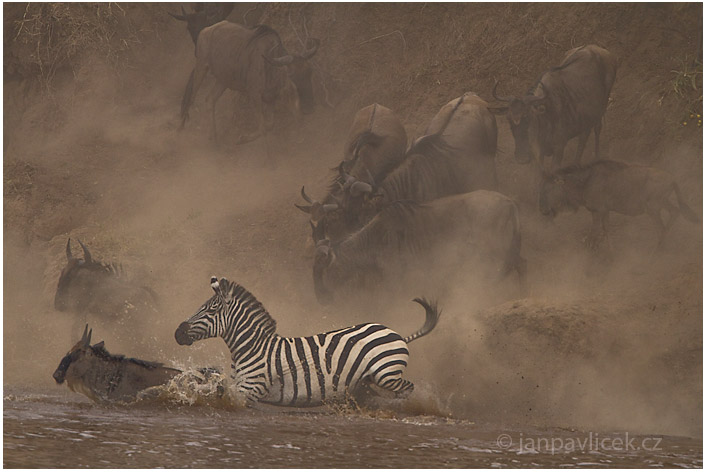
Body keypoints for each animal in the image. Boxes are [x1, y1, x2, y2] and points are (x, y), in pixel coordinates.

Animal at [175, 276, 440, 406]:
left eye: (210, 310)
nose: (178, 333)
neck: (253, 348)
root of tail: (396, 333)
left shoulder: (248, 390)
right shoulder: (237, 385)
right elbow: (211, 385)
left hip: (386, 374)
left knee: (407, 389)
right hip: (368, 379)